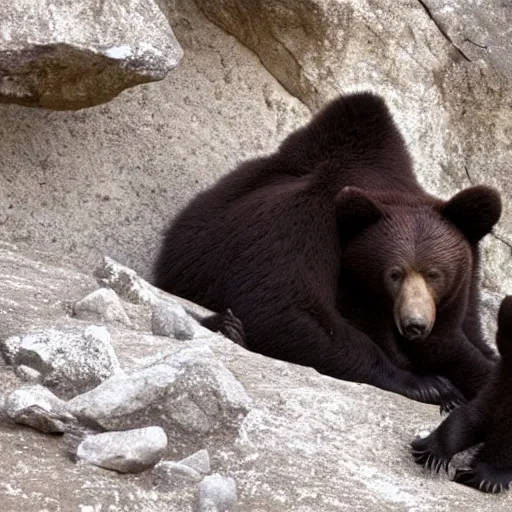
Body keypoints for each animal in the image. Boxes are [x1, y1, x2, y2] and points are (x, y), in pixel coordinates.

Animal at [153, 92, 500, 410]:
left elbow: (469, 332)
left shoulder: (466, 283)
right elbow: (283, 307)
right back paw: (229, 328)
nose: (415, 325)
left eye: (434, 275)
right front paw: (430, 384)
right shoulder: (304, 222)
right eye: (394, 274)